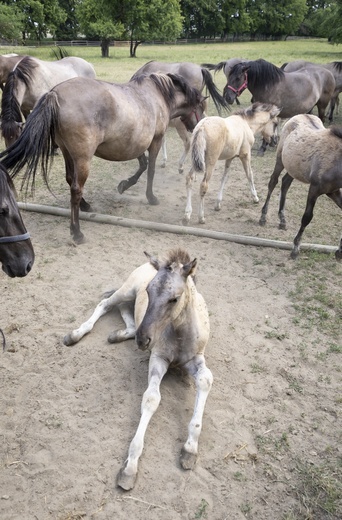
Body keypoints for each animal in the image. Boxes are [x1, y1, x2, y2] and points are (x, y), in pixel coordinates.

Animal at [0, 72, 206, 244]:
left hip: (68, 153)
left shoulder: (136, 144)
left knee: (70, 180)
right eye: (200, 106)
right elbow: (151, 169)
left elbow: (143, 165)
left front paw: (124, 185)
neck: (157, 95)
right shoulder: (155, 141)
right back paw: (77, 232)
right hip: (83, 158)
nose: (197, 125)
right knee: (76, 188)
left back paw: (85, 206)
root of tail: (55, 94)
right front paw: (151, 197)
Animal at [260, 114, 342, 260]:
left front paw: (339, 251)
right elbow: (307, 217)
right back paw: (263, 217)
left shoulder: (333, 191)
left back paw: (282, 220)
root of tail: (301, 115)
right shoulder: (314, 189)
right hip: (280, 160)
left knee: (285, 182)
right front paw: (295, 248)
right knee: (273, 182)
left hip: (293, 168)